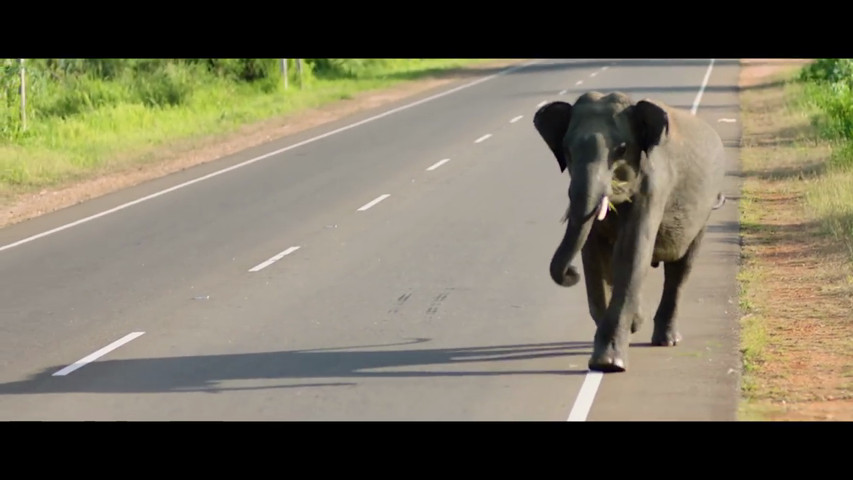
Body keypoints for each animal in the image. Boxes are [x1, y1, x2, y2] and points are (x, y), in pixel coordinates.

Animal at [532, 92, 724, 374]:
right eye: (566, 150)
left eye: (621, 149)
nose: (570, 273)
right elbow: (593, 258)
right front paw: (625, 331)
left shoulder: (654, 186)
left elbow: (631, 253)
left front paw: (609, 364)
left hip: (705, 210)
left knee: (681, 268)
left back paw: (667, 340)